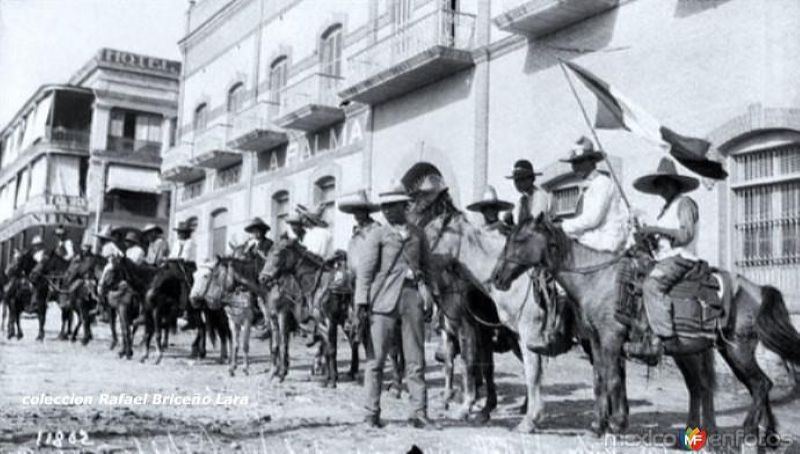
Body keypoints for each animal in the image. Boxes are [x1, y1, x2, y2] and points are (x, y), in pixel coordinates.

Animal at [490, 216, 800, 444]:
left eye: (519, 240)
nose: (496, 277)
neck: (597, 279)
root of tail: (756, 289)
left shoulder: (611, 339)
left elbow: (612, 379)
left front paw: (615, 424)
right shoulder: (596, 342)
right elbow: (599, 380)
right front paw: (598, 425)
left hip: (737, 349)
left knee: (760, 384)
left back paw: (748, 432)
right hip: (706, 351)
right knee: (711, 386)